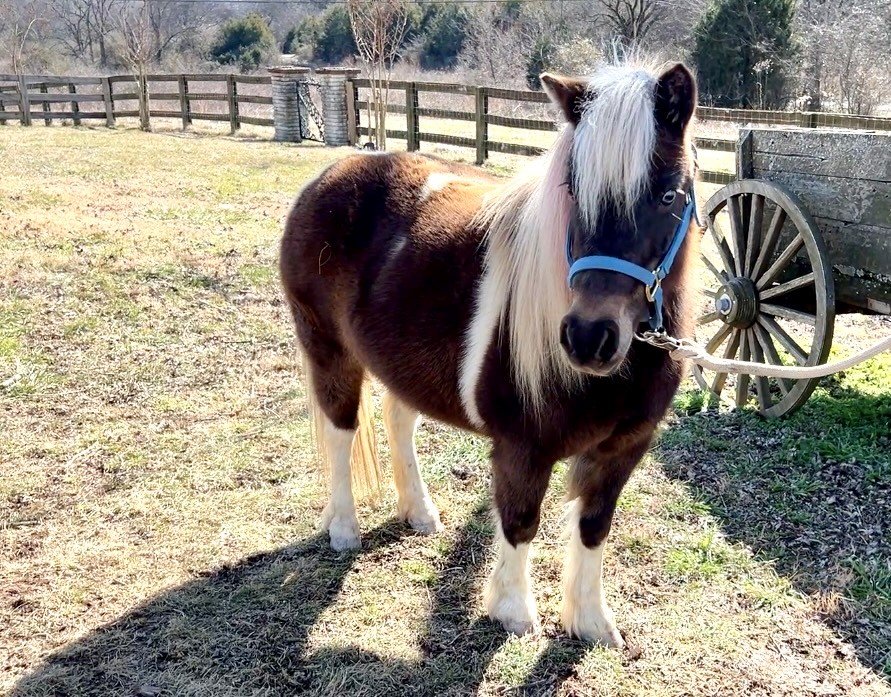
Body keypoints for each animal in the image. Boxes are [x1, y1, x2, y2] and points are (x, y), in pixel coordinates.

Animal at [279, 60, 701, 646]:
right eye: (572, 190)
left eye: (667, 196)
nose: (589, 338)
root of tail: (333, 172)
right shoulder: (522, 449)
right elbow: (520, 521)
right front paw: (514, 613)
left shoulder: (624, 450)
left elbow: (594, 526)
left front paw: (592, 622)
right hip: (329, 353)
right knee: (342, 433)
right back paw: (343, 528)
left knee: (397, 420)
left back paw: (420, 512)